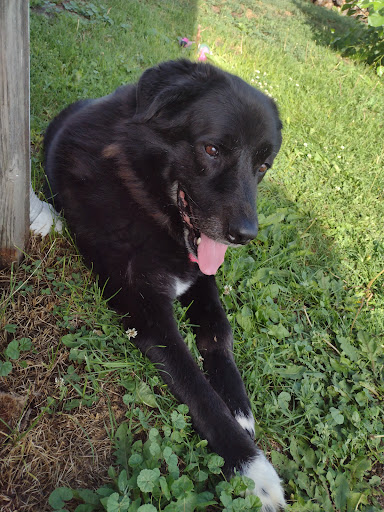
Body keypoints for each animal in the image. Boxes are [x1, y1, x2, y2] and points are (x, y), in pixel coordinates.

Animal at [45, 59, 284, 508]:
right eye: (212, 150)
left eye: (262, 167)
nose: (246, 235)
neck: (147, 204)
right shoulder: (147, 315)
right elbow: (195, 383)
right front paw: (251, 469)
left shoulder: (200, 276)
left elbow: (219, 331)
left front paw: (239, 406)